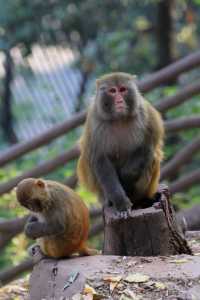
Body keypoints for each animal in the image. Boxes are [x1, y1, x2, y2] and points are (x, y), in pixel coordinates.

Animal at [77, 72, 164, 213]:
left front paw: (126, 181)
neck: (119, 119)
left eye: (122, 89)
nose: (119, 100)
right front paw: (121, 202)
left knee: (152, 158)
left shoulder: (148, 116)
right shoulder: (94, 120)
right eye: (112, 91)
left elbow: (146, 148)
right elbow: (100, 160)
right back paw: (110, 200)